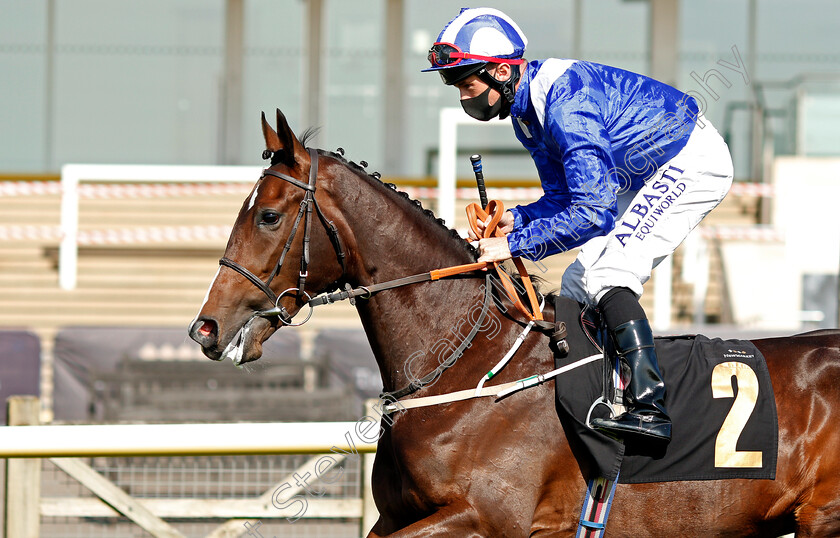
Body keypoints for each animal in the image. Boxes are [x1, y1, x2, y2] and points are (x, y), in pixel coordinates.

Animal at [190, 110, 840, 536]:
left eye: (268, 216)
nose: (207, 329)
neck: (468, 366)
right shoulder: (399, 516)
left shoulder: (486, 517)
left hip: (821, 518)